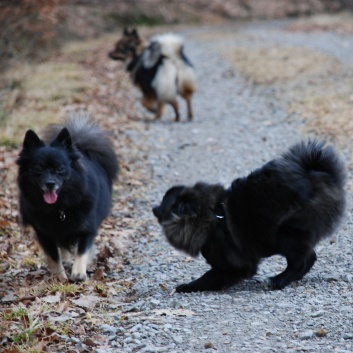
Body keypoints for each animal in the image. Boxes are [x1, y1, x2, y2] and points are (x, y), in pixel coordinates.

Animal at [16, 114, 118, 282]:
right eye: (39, 169)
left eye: (60, 169)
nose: (50, 183)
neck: (59, 207)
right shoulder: (44, 232)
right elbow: (53, 255)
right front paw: (59, 276)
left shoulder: (86, 228)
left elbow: (82, 250)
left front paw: (78, 274)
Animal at [153, 140, 346, 292]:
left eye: (164, 204)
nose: (154, 208)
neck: (213, 218)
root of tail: (315, 173)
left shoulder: (233, 265)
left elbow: (208, 278)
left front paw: (187, 286)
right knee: (308, 258)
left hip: (288, 234)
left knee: (301, 262)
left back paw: (278, 281)